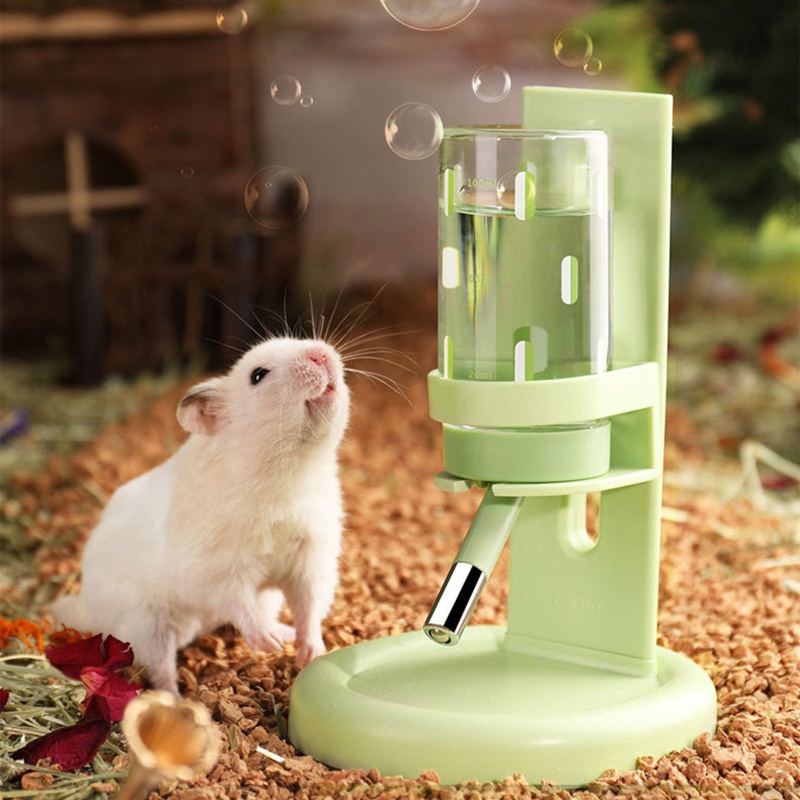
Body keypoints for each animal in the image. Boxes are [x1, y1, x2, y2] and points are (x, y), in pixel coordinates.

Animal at [51, 337, 350, 696]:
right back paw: (178, 700)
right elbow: (237, 601)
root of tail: (88, 608)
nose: (321, 353)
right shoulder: (212, 571)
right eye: (258, 375)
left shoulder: (312, 556)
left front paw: (310, 651)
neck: (290, 472)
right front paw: (267, 643)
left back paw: (285, 635)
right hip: (147, 625)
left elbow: (310, 605)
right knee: (159, 669)